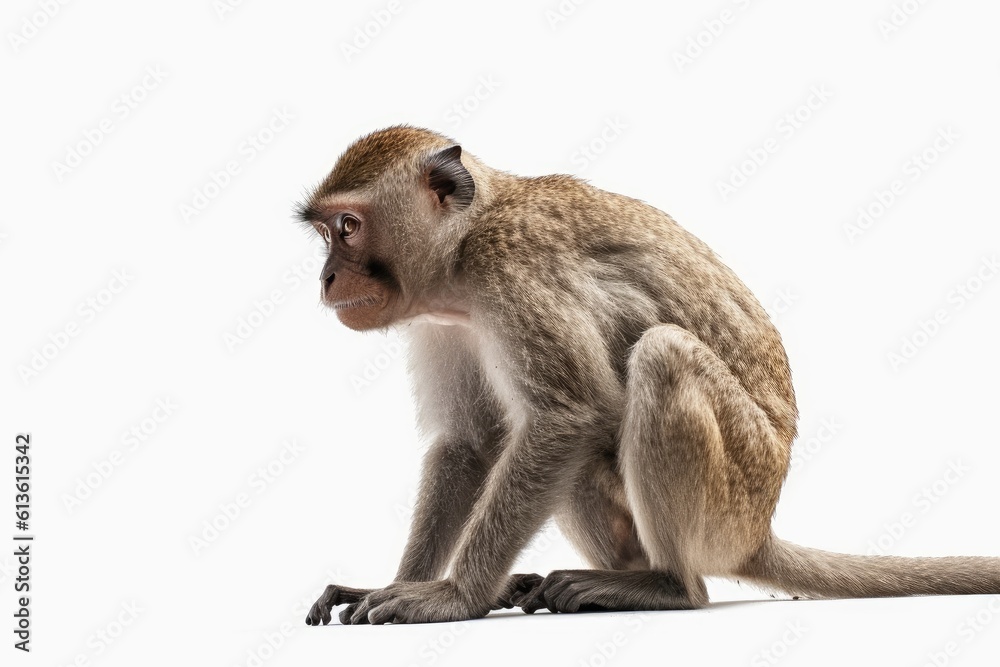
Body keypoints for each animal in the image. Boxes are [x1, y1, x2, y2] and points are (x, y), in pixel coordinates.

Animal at [296, 125, 1000, 625]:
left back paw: (666, 585)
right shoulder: (443, 321)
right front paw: (396, 582)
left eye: (348, 228)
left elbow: (567, 416)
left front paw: (452, 596)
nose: (326, 278)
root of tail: (758, 531)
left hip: (733, 496)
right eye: (327, 233)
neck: (466, 246)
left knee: (660, 358)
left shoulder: (515, 273)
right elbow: (470, 444)